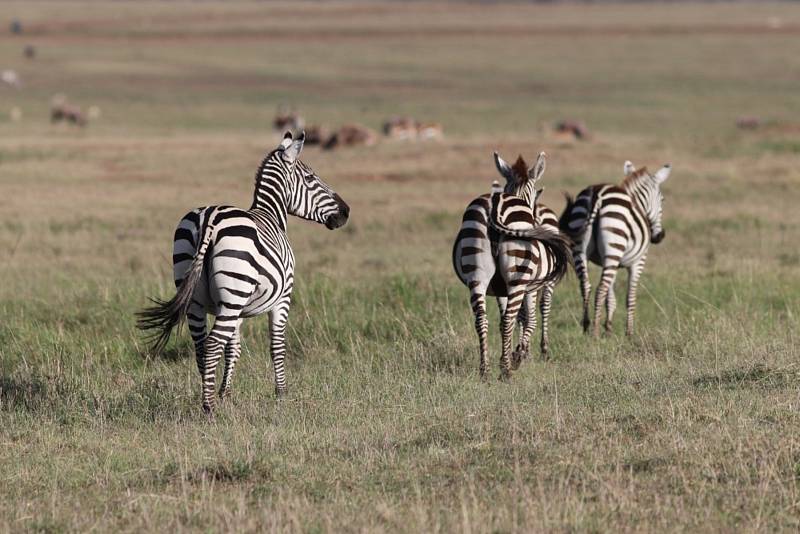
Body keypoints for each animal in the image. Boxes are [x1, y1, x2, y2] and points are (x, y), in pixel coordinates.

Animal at [138, 131, 350, 414]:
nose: (346, 212)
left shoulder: (233, 308)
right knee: (212, 344)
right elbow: (277, 345)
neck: (270, 214)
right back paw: (209, 408)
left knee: (202, 346)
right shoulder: (283, 297)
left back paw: (208, 396)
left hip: (199, 296)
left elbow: (234, 348)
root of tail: (209, 218)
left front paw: (226, 393)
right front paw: (281, 395)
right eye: (310, 178)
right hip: (233, 292)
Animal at [454, 153, 572, 384]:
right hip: (520, 276)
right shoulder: (530, 285)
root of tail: (494, 204)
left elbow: (508, 320)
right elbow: (529, 319)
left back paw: (485, 370)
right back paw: (507, 369)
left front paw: (513, 353)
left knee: (482, 319)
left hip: (477, 273)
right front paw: (518, 355)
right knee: (517, 316)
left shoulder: (500, 288)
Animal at [560, 161, 672, 342]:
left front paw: (609, 330)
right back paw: (595, 332)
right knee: (599, 289)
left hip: (581, 248)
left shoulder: (610, 263)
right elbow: (630, 298)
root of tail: (597, 194)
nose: (659, 236)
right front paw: (629, 333)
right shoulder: (637, 262)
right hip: (614, 245)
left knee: (586, 286)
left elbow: (610, 298)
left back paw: (586, 326)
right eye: (662, 199)